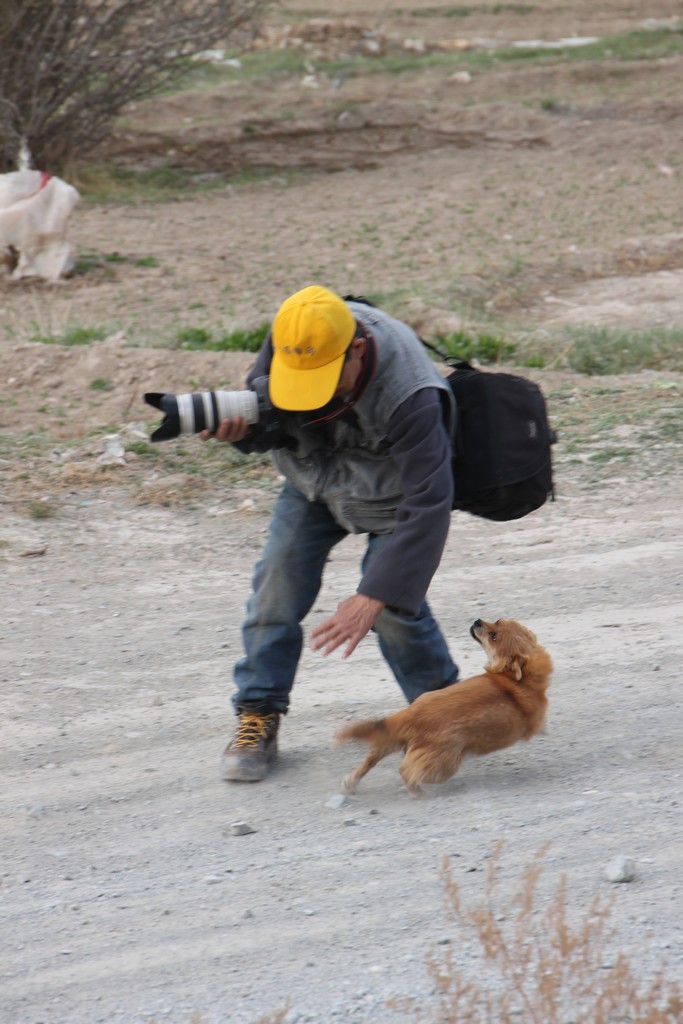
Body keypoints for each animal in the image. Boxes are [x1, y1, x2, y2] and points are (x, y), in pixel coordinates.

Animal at [339, 618, 552, 794]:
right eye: (496, 624)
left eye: (494, 636)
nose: (477, 621)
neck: (518, 678)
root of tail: (411, 715)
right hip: (445, 765)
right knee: (407, 772)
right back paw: (420, 794)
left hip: (391, 741)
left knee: (373, 758)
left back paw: (351, 782)